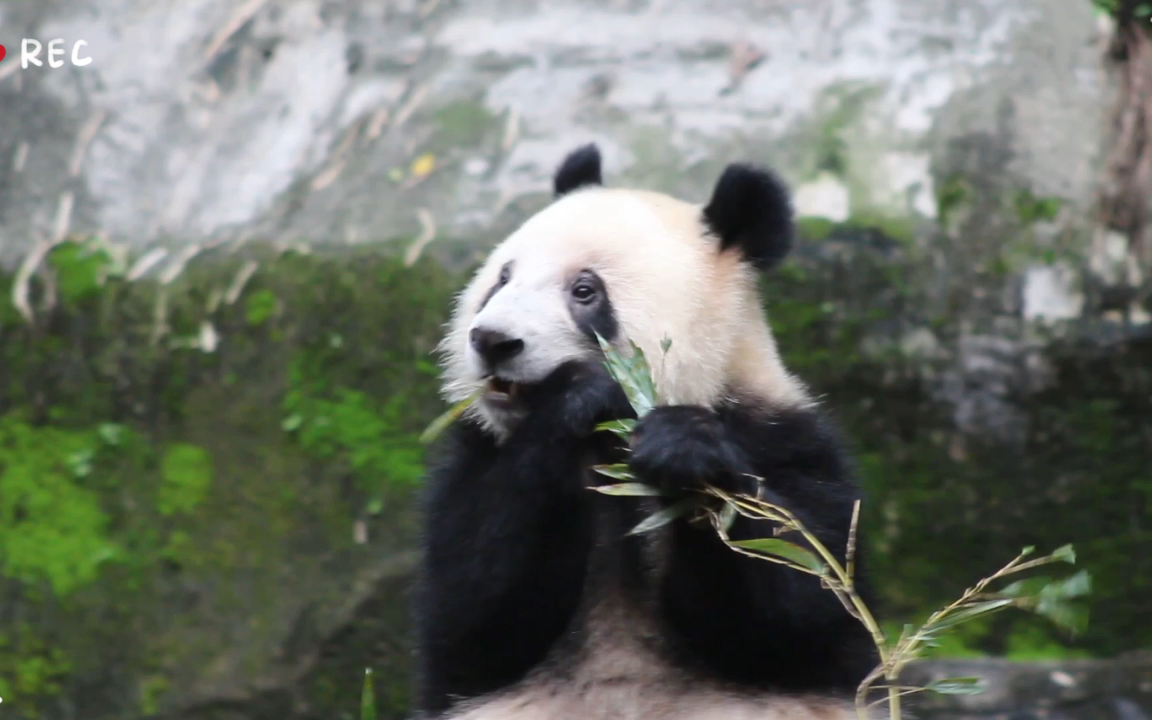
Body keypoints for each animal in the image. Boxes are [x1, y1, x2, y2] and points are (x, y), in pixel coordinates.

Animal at [414, 141, 880, 718]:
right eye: (501, 279)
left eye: (584, 290)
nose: (493, 341)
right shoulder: (477, 452)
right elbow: (473, 611)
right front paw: (576, 398)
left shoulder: (784, 440)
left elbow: (803, 603)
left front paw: (684, 451)